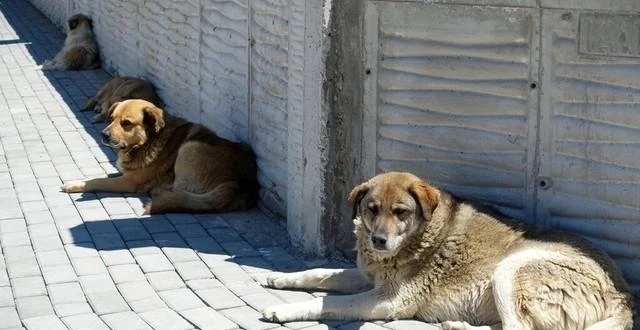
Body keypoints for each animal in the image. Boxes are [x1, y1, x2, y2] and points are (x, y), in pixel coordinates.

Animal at [60, 98, 260, 214]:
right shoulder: (126, 173)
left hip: (190, 147)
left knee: (179, 190)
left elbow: (96, 181)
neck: (147, 141)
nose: (104, 135)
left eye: (126, 123)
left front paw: (74, 185)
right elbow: (105, 174)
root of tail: (242, 184)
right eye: (111, 119)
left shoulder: (128, 182)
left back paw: (159, 191)